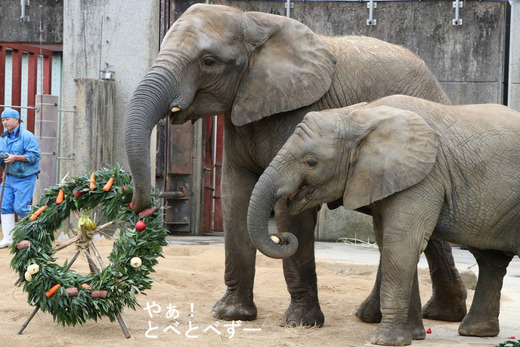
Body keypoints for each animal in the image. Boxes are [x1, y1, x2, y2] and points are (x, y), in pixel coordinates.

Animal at [123, 2, 468, 328]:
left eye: (208, 62)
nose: (140, 207)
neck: (253, 22)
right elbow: (235, 198)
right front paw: (231, 315)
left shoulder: (298, 110)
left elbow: (289, 206)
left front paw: (299, 323)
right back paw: (414, 314)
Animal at [247, 94, 520, 346]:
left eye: (311, 162)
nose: (283, 237)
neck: (359, 116)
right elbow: (388, 241)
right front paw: (412, 336)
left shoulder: (424, 176)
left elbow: (401, 242)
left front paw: (386, 341)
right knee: (490, 260)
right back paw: (476, 332)